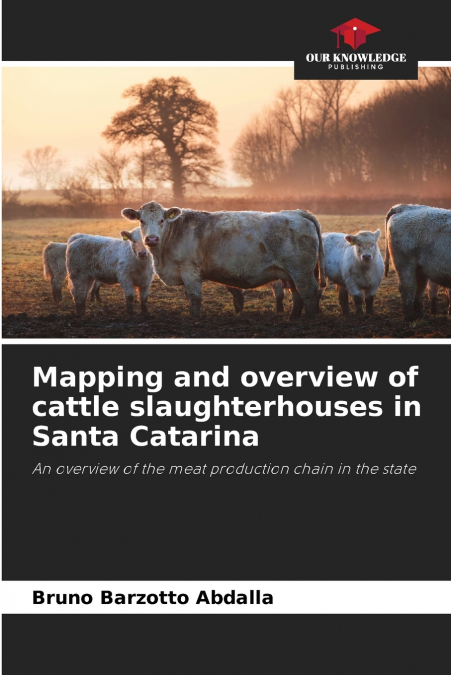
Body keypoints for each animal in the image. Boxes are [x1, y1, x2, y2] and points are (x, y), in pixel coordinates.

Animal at [121, 201, 326, 321]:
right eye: (141, 220)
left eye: (162, 220)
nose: (151, 239)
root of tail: (297, 212)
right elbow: (188, 296)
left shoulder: (190, 270)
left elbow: (194, 297)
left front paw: (196, 319)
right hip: (292, 274)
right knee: (297, 295)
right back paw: (293, 318)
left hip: (302, 272)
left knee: (308, 292)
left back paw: (308, 320)